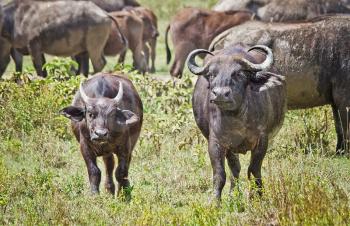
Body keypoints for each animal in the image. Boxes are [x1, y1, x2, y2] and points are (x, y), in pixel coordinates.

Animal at [187, 44, 286, 201]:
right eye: (212, 74)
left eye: (238, 74)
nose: (220, 94)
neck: (236, 120)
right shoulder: (216, 142)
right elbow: (220, 174)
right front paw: (216, 201)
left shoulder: (262, 140)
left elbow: (254, 170)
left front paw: (258, 197)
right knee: (235, 168)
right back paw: (234, 195)